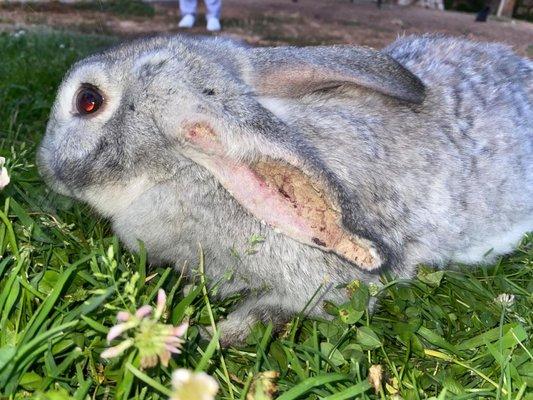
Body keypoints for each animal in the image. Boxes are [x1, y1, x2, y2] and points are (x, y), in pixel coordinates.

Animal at [38, 34, 532, 346]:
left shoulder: (327, 286)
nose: (45, 167)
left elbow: (275, 311)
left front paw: (212, 335)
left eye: (88, 101)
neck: (194, 172)